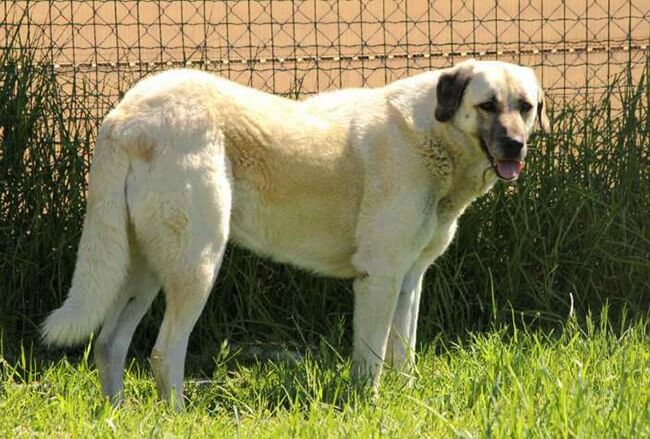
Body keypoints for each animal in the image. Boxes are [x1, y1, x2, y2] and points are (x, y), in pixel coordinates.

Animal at [41, 58, 548, 410]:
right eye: (487, 106)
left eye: (526, 107)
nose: (515, 145)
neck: (434, 136)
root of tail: (125, 114)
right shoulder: (379, 278)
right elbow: (371, 359)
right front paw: (370, 408)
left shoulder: (408, 281)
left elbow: (402, 354)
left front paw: (406, 401)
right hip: (197, 262)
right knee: (165, 352)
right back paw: (177, 417)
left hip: (144, 267)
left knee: (110, 344)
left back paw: (120, 415)